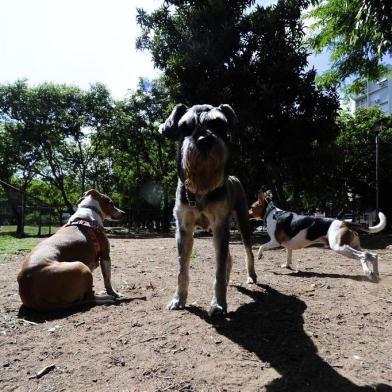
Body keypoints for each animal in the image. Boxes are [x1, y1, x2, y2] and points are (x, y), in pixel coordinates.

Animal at [250, 190, 388, 278]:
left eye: (251, 207)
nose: (246, 212)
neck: (271, 213)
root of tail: (344, 222)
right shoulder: (288, 246)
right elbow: (288, 257)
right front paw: (287, 266)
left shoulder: (275, 241)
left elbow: (261, 246)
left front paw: (259, 255)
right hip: (352, 245)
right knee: (372, 255)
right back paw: (375, 273)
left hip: (339, 247)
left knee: (363, 256)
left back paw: (368, 272)